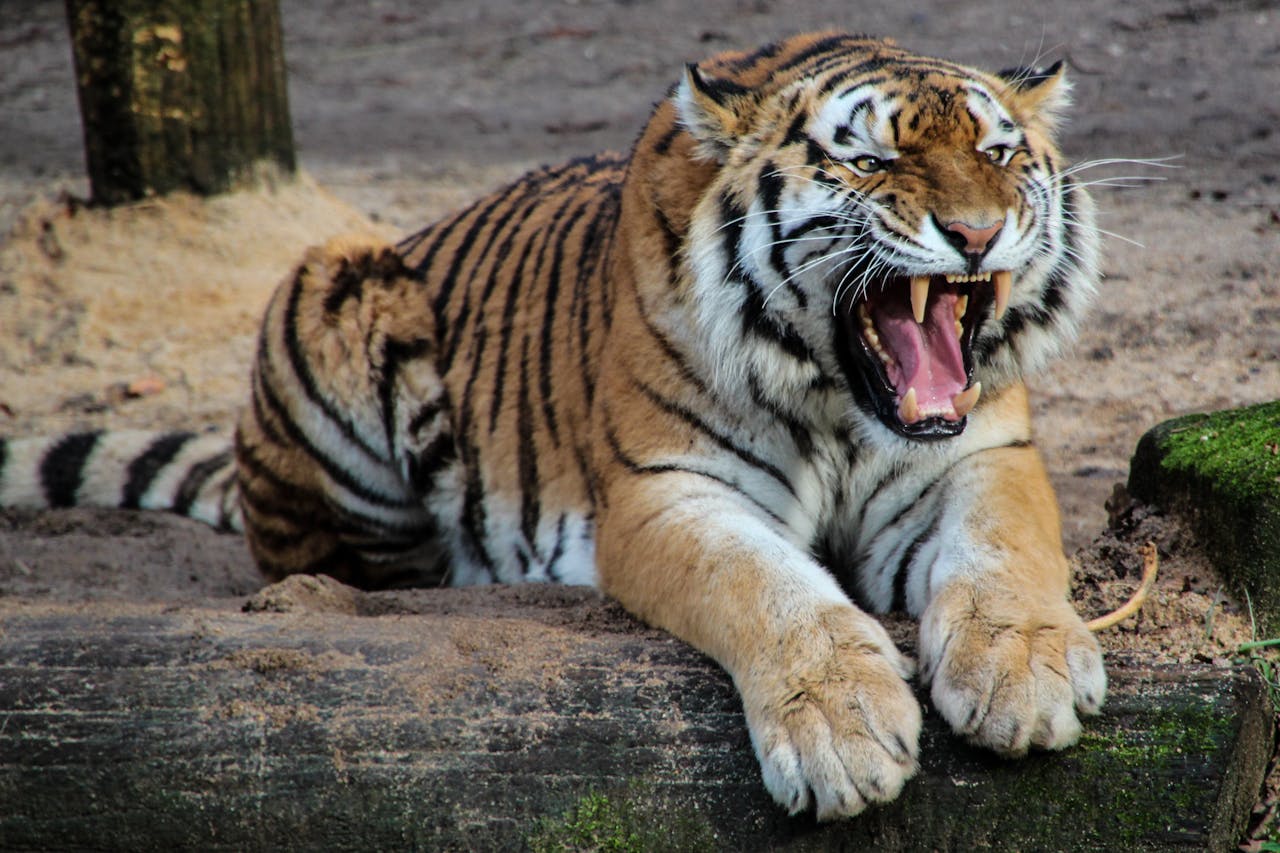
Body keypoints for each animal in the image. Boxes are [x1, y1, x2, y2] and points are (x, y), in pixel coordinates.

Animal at [0, 32, 1106, 819]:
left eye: (997, 152)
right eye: (872, 159)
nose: (975, 233)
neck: (840, 400)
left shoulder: (980, 455)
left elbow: (1006, 548)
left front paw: (1023, 673)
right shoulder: (665, 490)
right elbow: (767, 587)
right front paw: (841, 729)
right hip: (332, 281)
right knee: (334, 563)